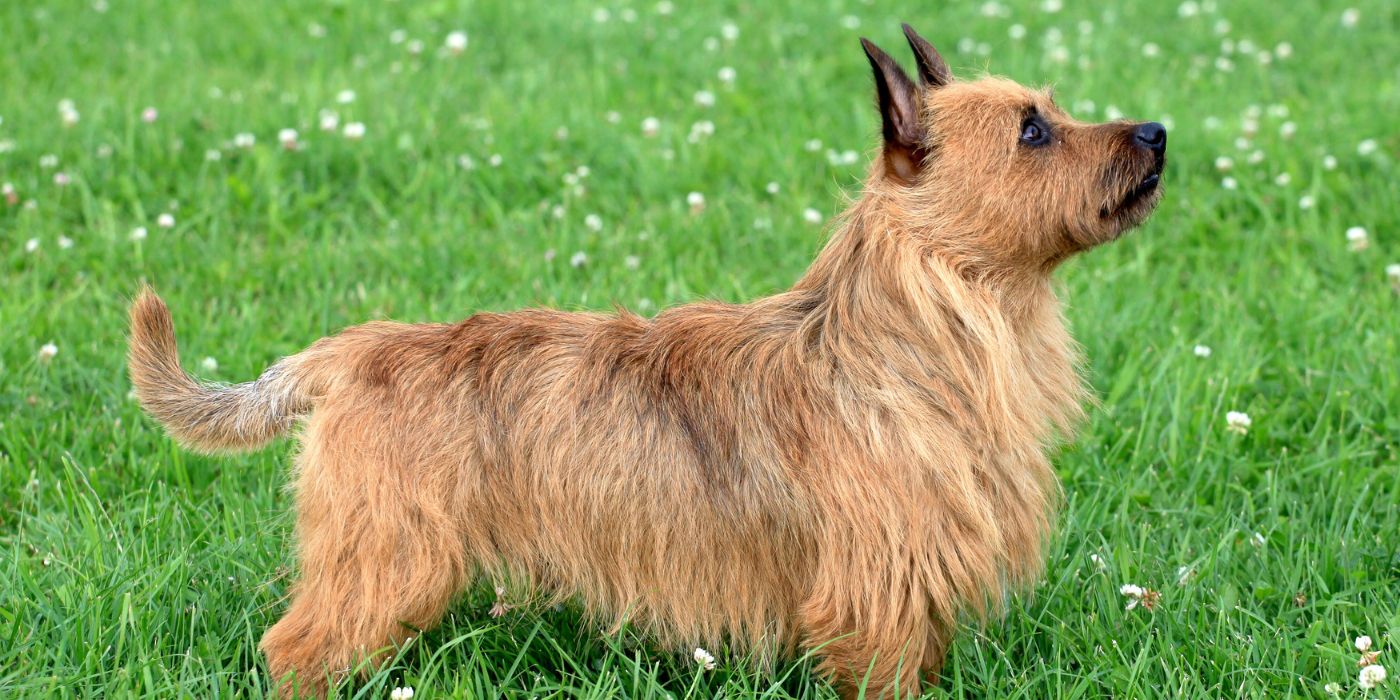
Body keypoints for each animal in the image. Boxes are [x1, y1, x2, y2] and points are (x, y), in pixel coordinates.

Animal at [131, 24, 1164, 697]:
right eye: (1032, 130)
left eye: (1053, 111)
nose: (1157, 131)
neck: (924, 335)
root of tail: (343, 354)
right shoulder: (874, 602)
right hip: (384, 561)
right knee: (295, 650)